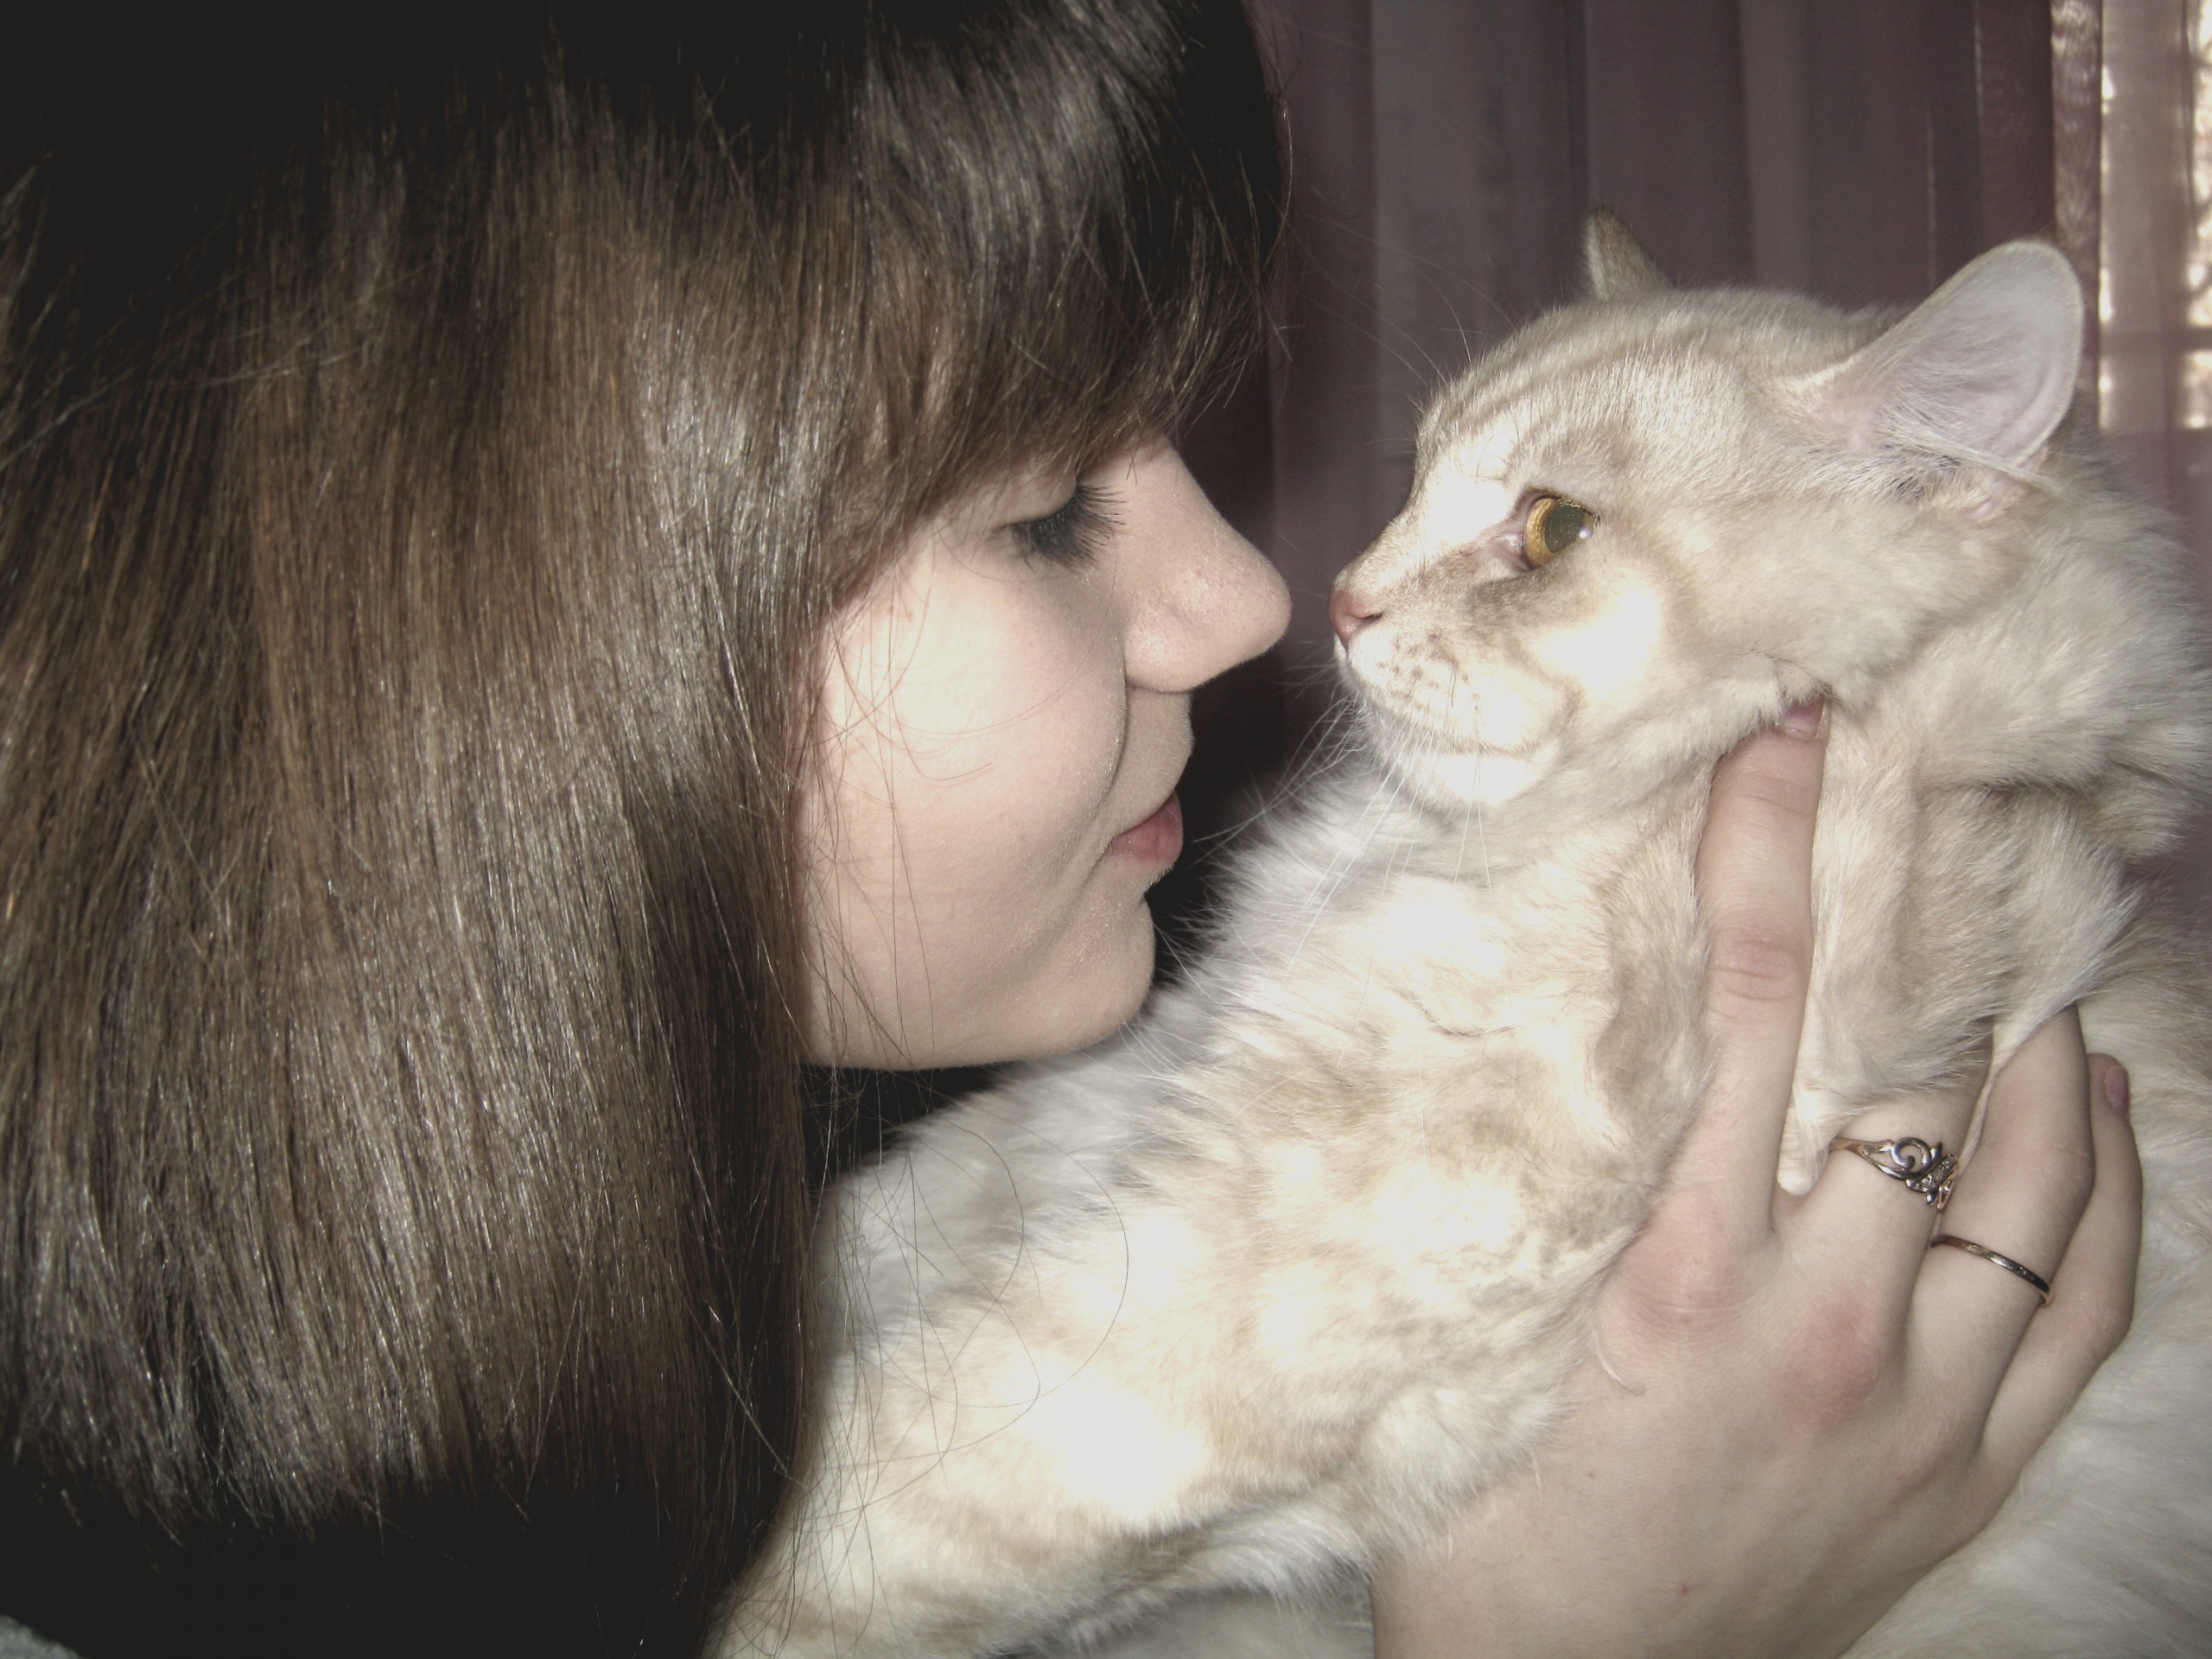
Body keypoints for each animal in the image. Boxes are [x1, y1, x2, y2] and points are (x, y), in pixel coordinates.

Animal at [720, 217, 2212, 1659]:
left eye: (1554, 529)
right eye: (1418, 478)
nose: (1339, 600)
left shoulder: (1266, 1273)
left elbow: (860, 1515)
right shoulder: (1121, 1096)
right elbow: (878, 1219)